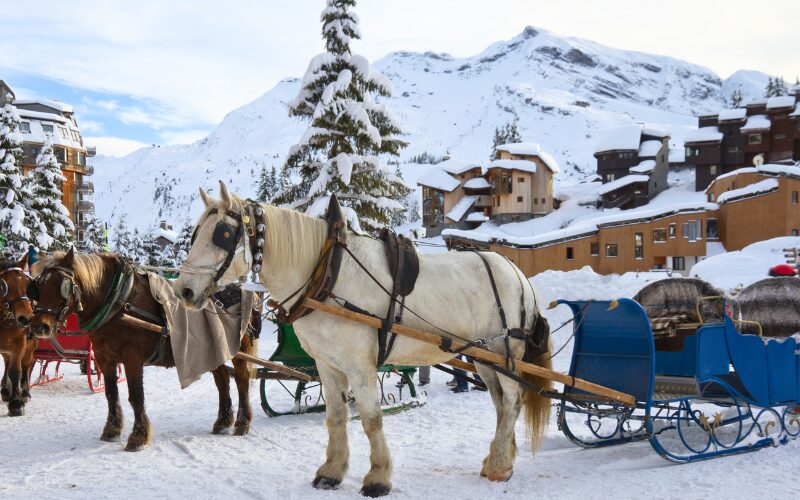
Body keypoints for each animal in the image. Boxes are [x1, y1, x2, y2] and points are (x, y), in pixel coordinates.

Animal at [29, 248, 256, 452]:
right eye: (37, 286)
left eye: (63, 286)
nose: (39, 327)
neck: (119, 300)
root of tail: (241, 290)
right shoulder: (104, 357)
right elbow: (111, 394)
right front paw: (112, 430)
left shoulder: (132, 358)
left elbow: (136, 396)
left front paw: (138, 437)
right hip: (211, 351)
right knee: (223, 379)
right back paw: (223, 421)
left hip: (234, 350)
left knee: (242, 378)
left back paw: (242, 423)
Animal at [175, 183, 552, 496]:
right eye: (195, 234)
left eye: (223, 233)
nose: (184, 291)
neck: (326, 273)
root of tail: (518, 274)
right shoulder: (327, 364)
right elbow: (336, 416)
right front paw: (331, 471)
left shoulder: (360, 365)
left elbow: (371, 418)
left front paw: (378, 478)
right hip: (483, 357)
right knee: (501, 403)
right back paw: (499, 459)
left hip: (505, 354)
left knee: (513, 399)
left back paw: (500, 464)